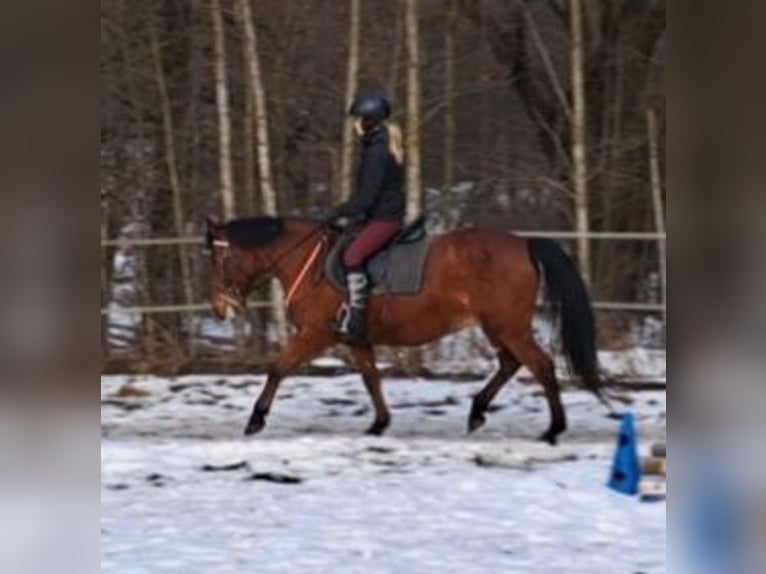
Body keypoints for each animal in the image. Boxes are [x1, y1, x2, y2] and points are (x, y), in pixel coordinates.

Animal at [204, 215, 608, 445]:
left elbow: (277, 369)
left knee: (541, 366)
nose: (220, 308)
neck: (309, 262)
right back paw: (477, 411)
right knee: (511, 364)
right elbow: (371, 378)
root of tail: (523, 242)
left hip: (509, 327)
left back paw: (553, 429)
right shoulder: (355, 338)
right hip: (498, 327)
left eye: (221, 258)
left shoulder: (315, 334)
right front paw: (379, 424)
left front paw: (256, 419)